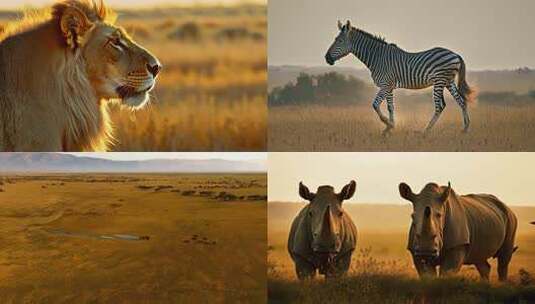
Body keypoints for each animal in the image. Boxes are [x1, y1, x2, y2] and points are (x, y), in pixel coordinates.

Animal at [324, 19, 476, 133]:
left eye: (339, 41)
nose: (327, 58)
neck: (378, 58)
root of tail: (455, 54)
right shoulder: (389, 86)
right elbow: (390, 107)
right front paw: (389, 129)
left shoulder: (385, 85)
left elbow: (375, 104)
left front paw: (388, 125)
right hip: (448, 81)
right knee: (461, 101)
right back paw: (465, 128)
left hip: (440, 80)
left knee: (440, 106)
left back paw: (425, 131)